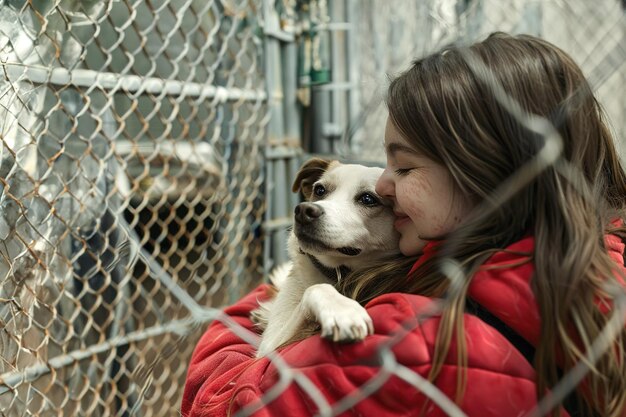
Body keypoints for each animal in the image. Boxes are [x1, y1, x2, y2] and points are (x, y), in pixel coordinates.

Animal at [252, 158, 400, 356]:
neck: (336, 271)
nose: (303, 211)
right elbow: (316, 288)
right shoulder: (268, 347)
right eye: (320, 190)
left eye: (368, 199)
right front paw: (342, 309)